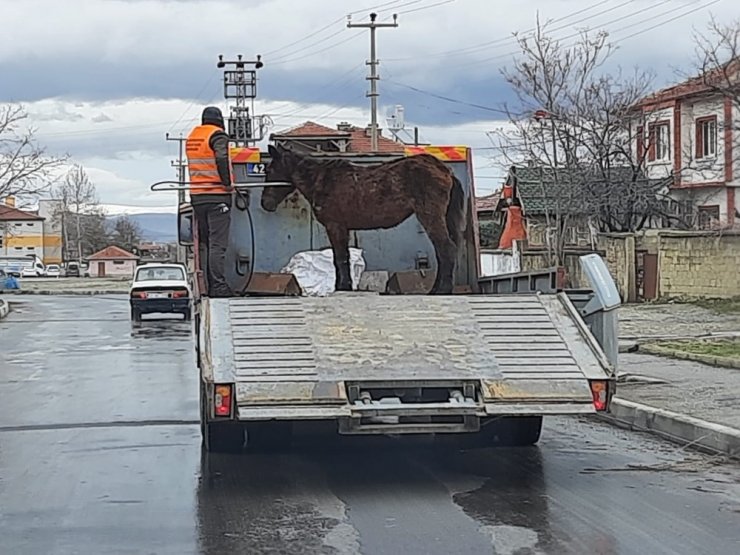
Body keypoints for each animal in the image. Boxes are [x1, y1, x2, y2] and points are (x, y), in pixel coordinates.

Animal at [264, 146, 466, 298]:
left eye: (270, 170)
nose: (265, 203)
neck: (321, 179)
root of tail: (445, 170)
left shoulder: (335, 226)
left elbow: (340, 258)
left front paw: (343, 286)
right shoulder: (342, 228)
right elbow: (342, 257)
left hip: (430, 216)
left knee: (446, 248)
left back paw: (443, 290)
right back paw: (435, 289)